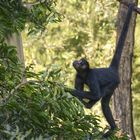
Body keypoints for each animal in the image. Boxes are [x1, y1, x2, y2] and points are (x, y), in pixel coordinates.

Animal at [67, 2, 135, 136]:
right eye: (79, 60)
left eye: (82, 63)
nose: (77, 62)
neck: (84, 74)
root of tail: (111, 70)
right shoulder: (78, 76)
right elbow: (81, 90)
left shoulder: (91, 77)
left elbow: (95, 94)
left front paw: (67, 90)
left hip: (113, 83)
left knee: (102, 100)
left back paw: (112, 127)